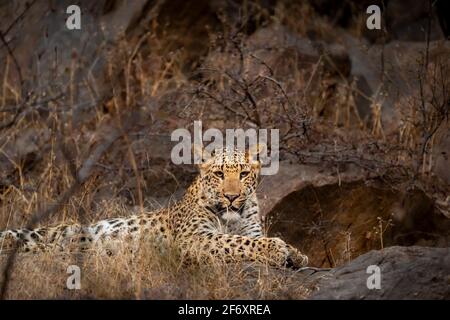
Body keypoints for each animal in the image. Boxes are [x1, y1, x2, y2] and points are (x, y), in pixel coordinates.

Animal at [0, 146, 310, 268]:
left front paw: (297, 253)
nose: (232, 197)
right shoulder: (193, 238)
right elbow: (236, 242)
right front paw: (278, 248)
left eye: (243, 174)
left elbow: (249, 239)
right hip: (45, 236)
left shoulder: (251, 229)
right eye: (219, 174)